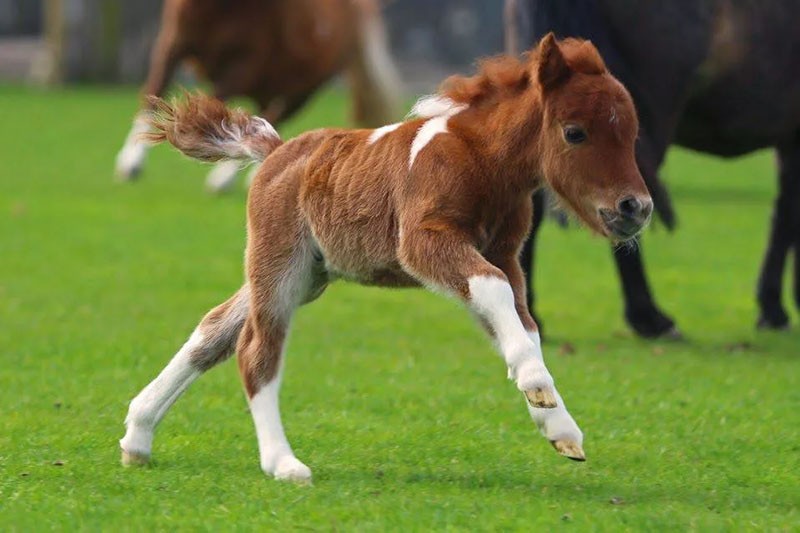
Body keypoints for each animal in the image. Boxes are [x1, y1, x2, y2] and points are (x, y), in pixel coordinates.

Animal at [115, 0, 400, 193]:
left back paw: (232, 177)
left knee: (271, 117)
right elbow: (152, 93)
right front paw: (130, 163)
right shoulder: (173, 41)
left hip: (300, 90)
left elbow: (209, 111)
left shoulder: (243, 64)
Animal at [122, 34, 652, 482]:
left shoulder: (505, 255)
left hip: (307, 273)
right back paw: (282, 463)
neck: (481, 158)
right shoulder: (424, 241)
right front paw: (537, 386)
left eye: (631, 134)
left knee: (214, 331)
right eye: (575, 132)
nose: (636, 207)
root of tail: (277, 151)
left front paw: (559, 426)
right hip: (280, 264)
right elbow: (496, 294)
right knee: (254, 349)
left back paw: (137, 435)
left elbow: (524, 323)